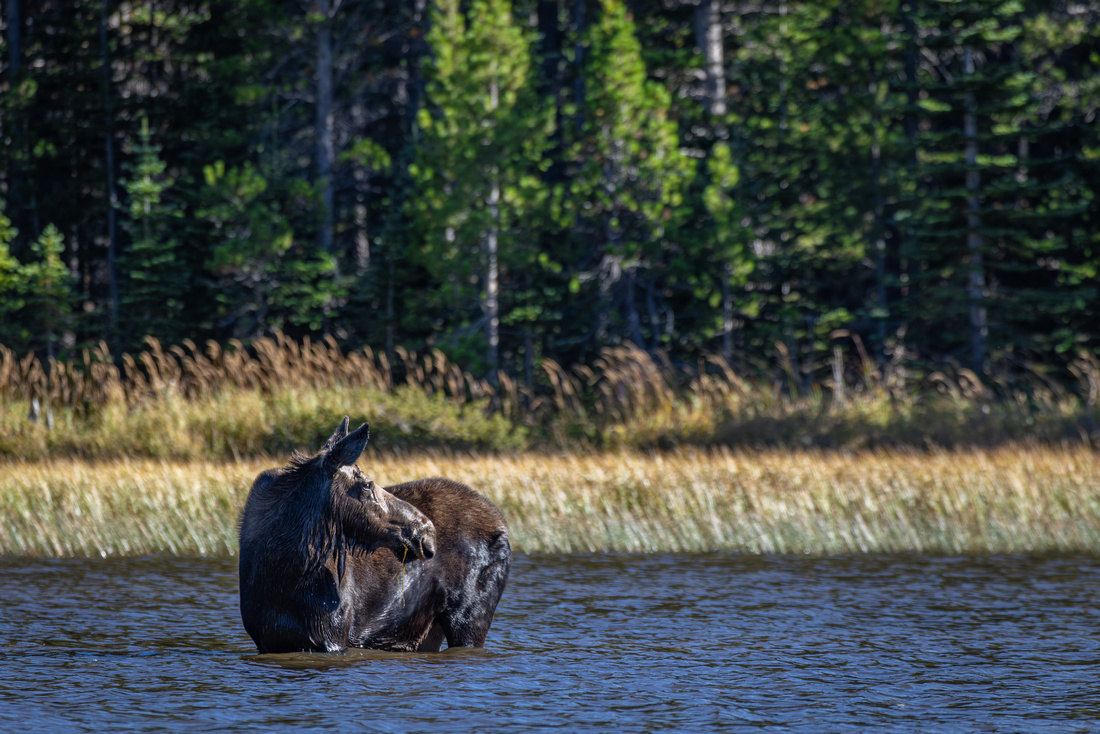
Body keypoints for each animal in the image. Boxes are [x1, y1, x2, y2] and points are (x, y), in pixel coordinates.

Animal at [237, 418, 510, 655]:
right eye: (367, 484)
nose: (427, 533)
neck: (284, 570)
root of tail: (504, 526)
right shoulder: (265, 640)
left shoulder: (332, 636)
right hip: (427, 631)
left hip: (469, 619)